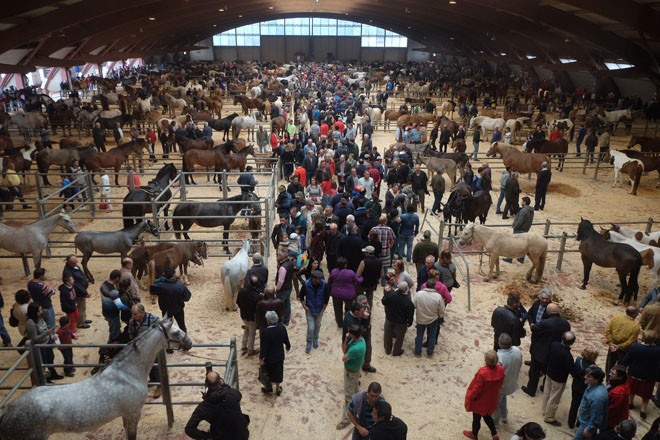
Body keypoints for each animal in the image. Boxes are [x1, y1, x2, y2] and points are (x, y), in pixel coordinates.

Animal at [0, 318, 191, 438]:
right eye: (175, 332)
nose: (189, 342)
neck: (127, 373)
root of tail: (7, 412)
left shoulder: (126, 415)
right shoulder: (133, 414)